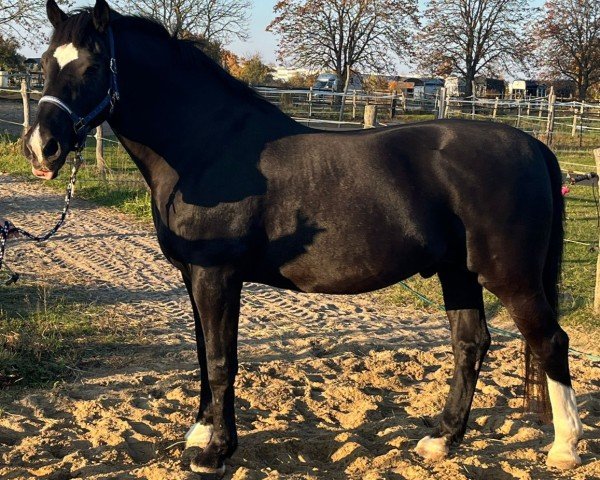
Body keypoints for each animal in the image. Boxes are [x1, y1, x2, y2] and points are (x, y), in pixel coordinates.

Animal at [23, 0, 580, 472]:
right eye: (46, 64)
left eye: (92, 67)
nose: (41, 148)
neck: (209, 148)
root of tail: (532, 146)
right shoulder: (192, 276)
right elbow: (203, 354)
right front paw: (201, 433)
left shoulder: (216, 276)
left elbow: (222, 359)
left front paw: (215, 452)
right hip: (457, 272)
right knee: (471, 343)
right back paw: (442, 440)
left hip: (510, 277)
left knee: (549, 341)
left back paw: (565, 448)